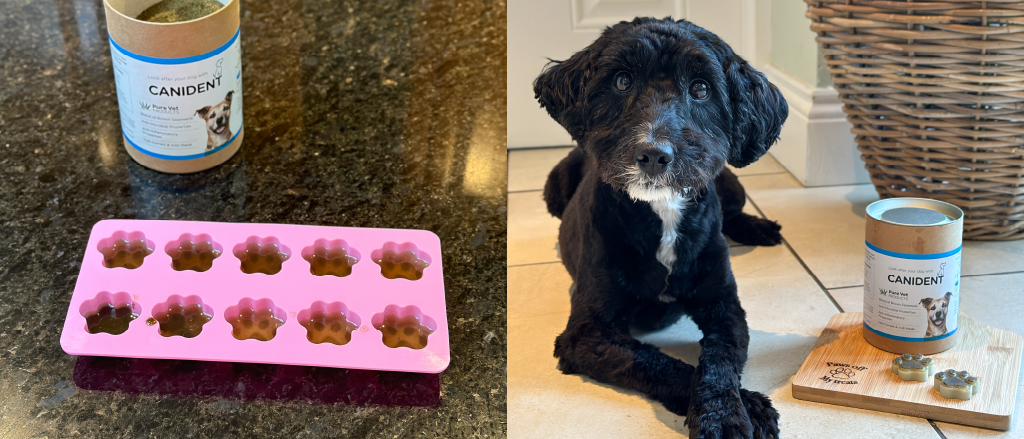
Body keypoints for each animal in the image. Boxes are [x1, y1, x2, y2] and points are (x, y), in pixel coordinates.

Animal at [540, 16, 786, 433]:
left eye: (701, 88)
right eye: (622, 81)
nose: (654, 153)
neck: (662, 212)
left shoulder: (724, 306)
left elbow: (720, 361)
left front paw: (725, 412)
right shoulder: (587, 333)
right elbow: (656, 362)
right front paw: (747, 406)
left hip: (730, 184)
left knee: (735, 213)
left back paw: (760, 228)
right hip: (554, 185)